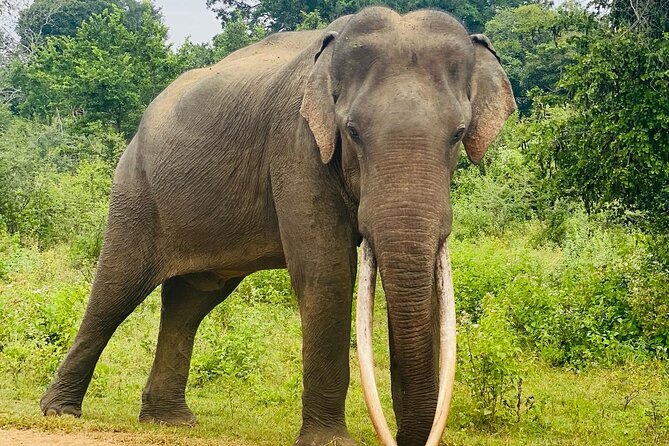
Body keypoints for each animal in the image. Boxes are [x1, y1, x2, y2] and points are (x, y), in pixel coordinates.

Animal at [40, 6, 515, 446]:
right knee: (116, 291)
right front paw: (328, 442)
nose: (406, 439)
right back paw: (60, 412)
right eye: (353, 132)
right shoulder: (296, 143)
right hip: (135, 190)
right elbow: (327, 273)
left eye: (458, 134)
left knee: (190, 301)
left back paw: (169, 421)